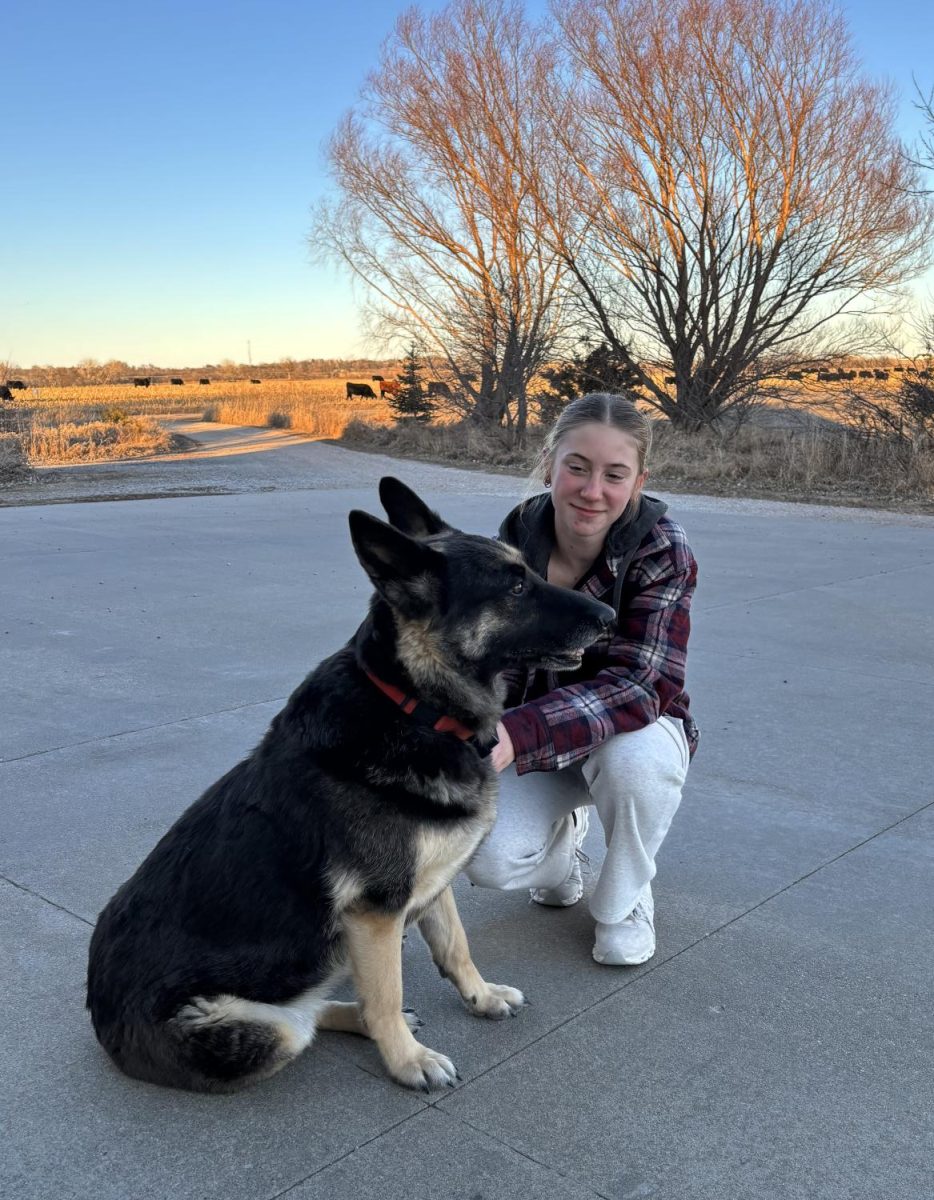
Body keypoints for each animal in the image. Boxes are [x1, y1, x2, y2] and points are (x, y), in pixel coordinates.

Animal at [85, 475, 612, 1089]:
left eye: (526, 572)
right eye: (515, 586)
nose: (607, 613)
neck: (415, 708)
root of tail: (99, 1015)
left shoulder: (432, 886)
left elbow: (456, 947)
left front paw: (479, 998)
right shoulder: (376, 915)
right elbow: (387, 993)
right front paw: (407, 1061)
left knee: (315, 1012)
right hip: (262, 1030)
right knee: (307, 1022)